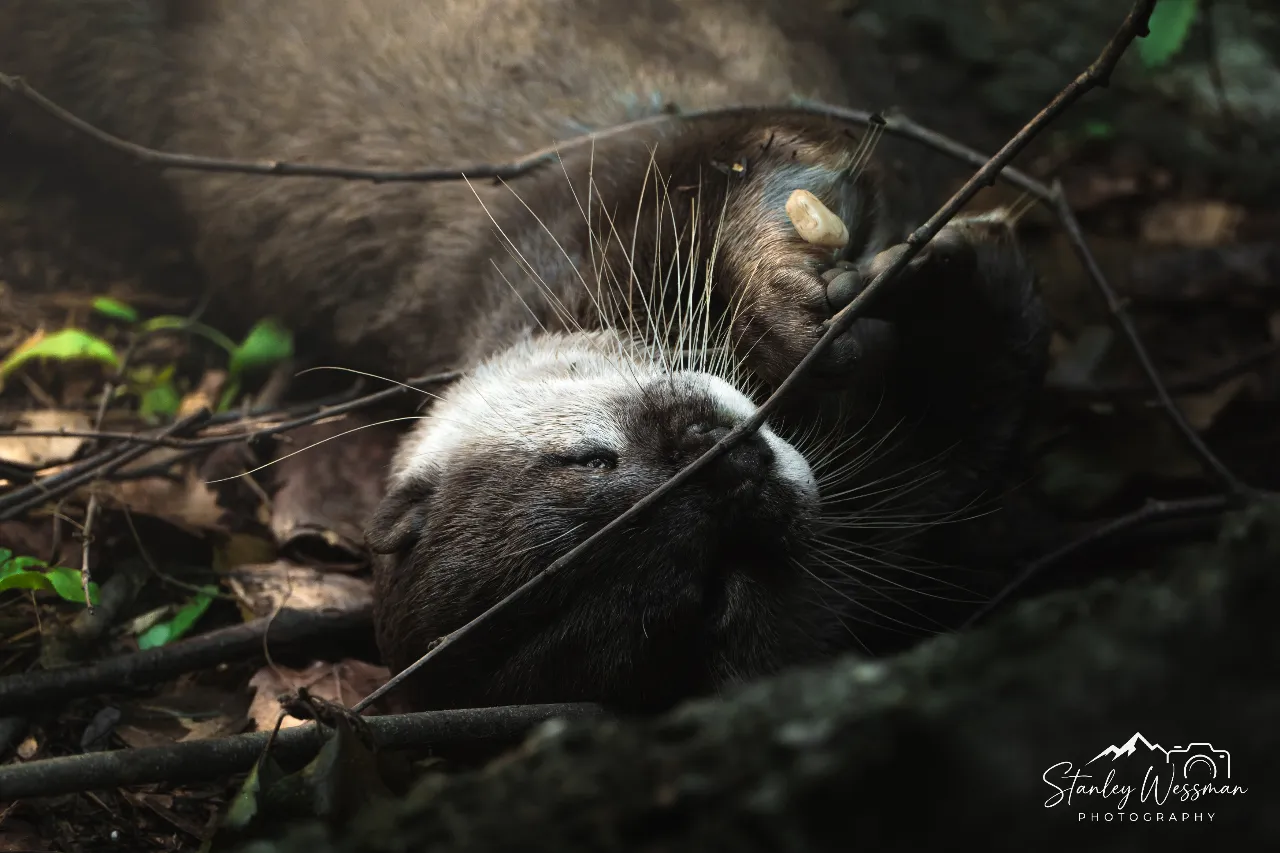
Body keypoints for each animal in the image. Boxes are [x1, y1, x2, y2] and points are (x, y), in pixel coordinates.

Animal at [0, 0, 1048, 712]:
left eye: (587, 459)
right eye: (704, 600)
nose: (735, 467)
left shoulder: (612, 175)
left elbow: (746, 153)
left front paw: (801, 292)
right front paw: (970, 290)